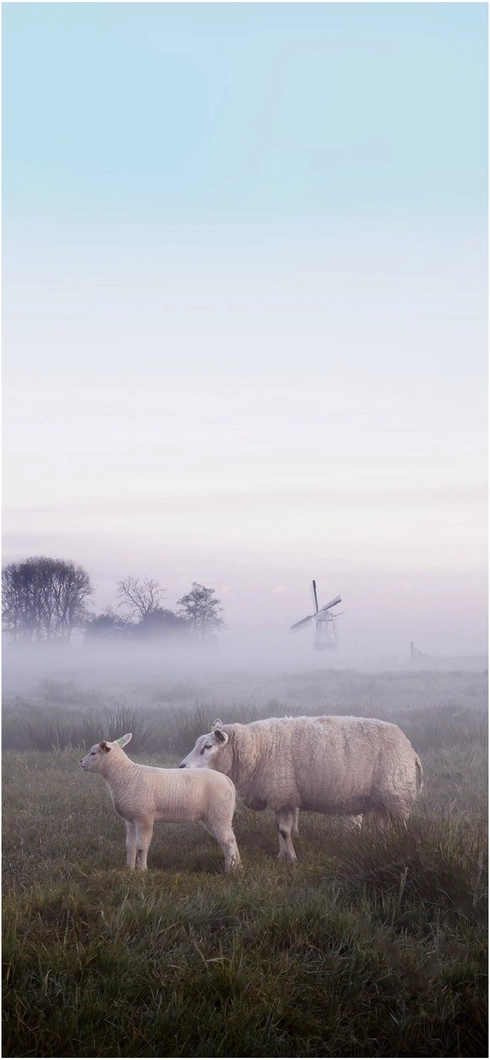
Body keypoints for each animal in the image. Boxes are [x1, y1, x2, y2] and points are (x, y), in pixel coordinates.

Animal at [80, 733, 241, 871]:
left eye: (93, 753)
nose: (80, 762)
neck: (125, 775)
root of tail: (228, 781)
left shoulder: (144, 818)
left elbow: (141, 847)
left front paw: (142, 871)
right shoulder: (131, 820)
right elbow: (130, 846)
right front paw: (129, 869)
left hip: (219, 814)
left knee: (228, 841)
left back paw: (229, 869)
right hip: (217, 817)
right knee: (231, 839)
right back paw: (237, 866)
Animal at [179, 715, 423, 861]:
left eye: (207, 747)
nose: (181, 767)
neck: (257, 749)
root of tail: (409, 747)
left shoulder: (283, 794)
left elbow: (285, 830)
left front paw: (293, 859)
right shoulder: (280, 798)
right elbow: (279, 828)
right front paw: (281, 856)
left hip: (397, 795)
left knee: (400, 827)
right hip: (381, 801)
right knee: (384, 828)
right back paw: (382, 847)